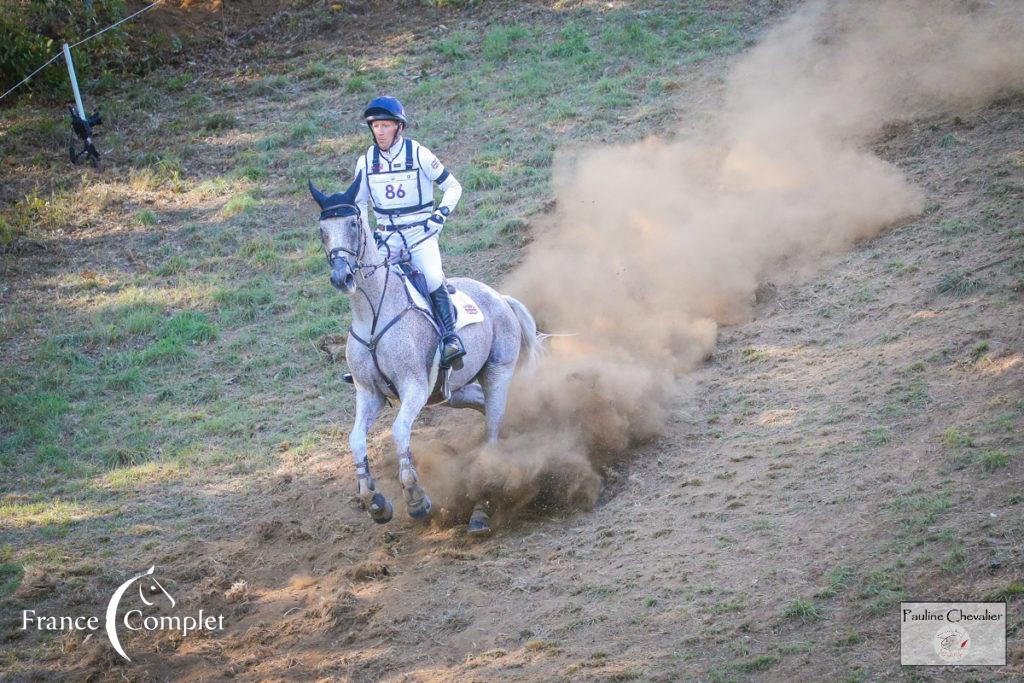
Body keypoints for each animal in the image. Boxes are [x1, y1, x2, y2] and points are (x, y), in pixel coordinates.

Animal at [307, 174, 544, 536]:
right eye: (323, 229)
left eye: (353, 223)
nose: (341, 277)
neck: (373, 314)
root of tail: (500, 297)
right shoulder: (369, 393)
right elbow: (356, 440)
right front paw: (374, 501)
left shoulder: (414, 387)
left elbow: (399, 432)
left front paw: (416, 498)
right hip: (452, 391)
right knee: (480, 404)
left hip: (497, 372)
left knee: (493, 427)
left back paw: (481, 509)